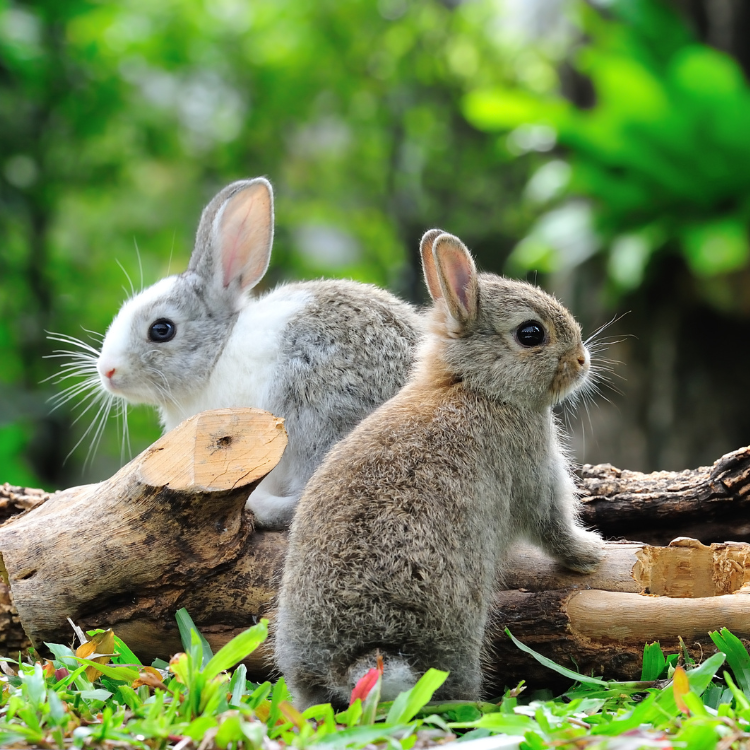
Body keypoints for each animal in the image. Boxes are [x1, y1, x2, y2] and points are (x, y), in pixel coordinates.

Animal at [276, 229, 604, 712]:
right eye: (531, 333)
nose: (582, 360)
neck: (475, 386)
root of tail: (352, 658)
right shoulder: (534, 471)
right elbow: (553, 527)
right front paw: (591, 553)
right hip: (455, 633)